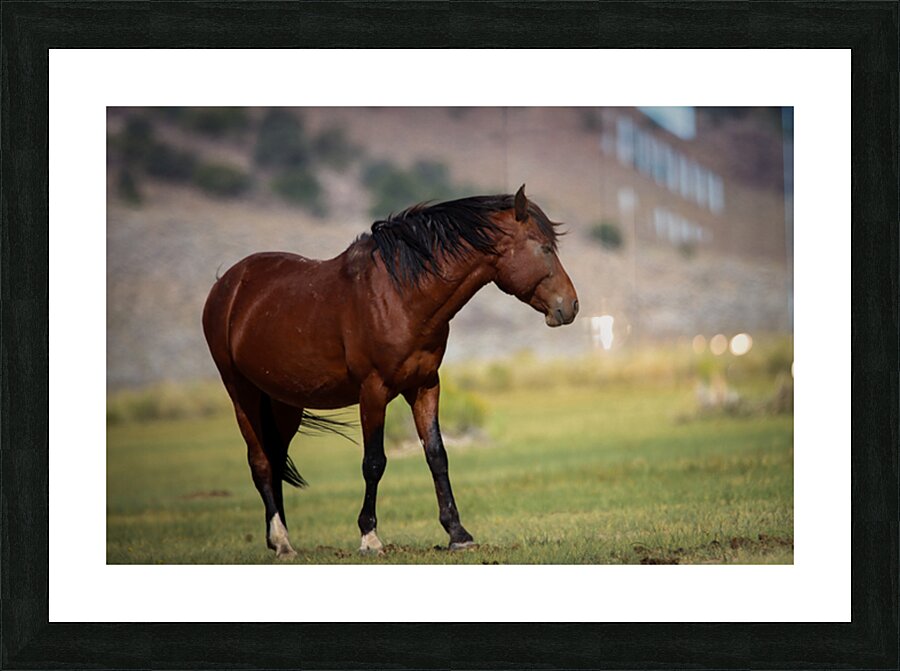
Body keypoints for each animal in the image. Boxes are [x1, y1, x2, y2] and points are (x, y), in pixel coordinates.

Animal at [202, 185, 579, 559]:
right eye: (544, 248)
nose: (571, 306)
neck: (400, 296)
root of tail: (226, 285)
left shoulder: (425, 385)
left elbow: (437, 455)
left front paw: (458, 533)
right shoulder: (373, 391)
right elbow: (374, 462)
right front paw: (369, 537)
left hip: (284, 402)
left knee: (275, 458)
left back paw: (280, 539)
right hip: (242, 393)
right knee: (261, 463)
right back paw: (281, 541)